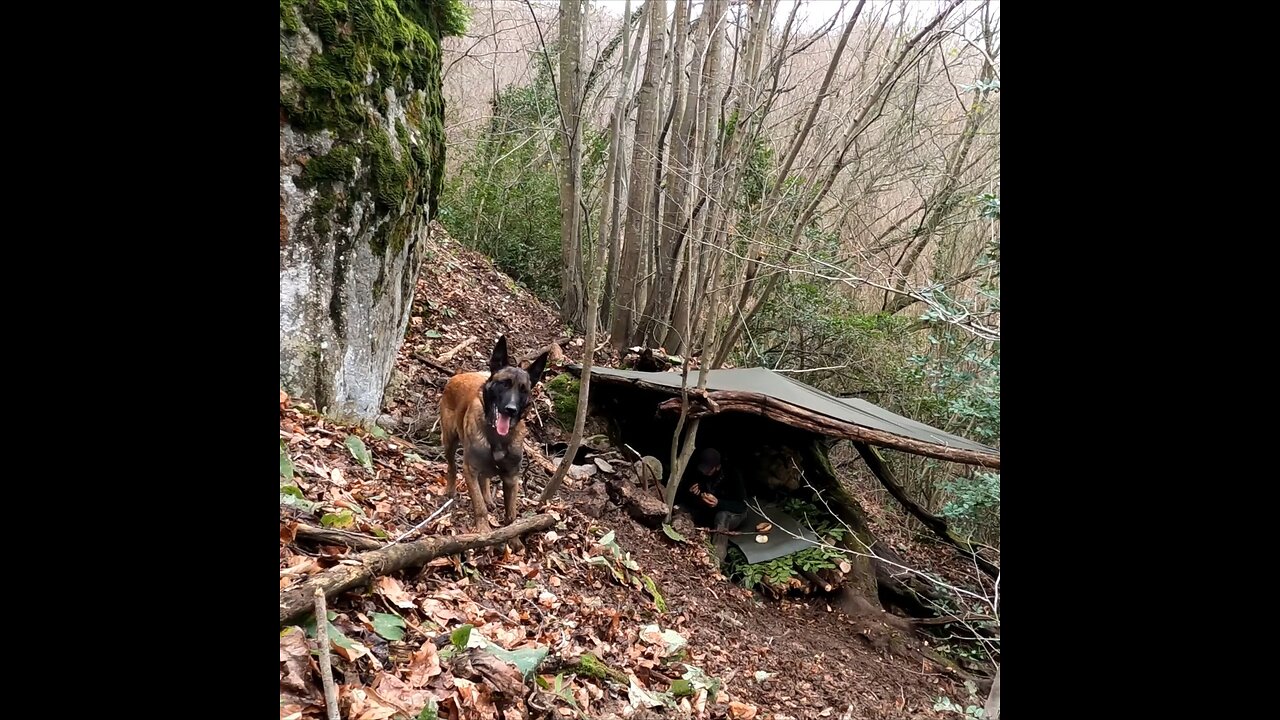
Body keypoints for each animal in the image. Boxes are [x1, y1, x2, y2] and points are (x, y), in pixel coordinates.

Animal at [437, 333, 547, 540]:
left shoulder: (511, 477)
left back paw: (488, 497)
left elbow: (511, 514)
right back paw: (450, 490)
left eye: (523, 390)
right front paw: (483, 530)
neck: (497, 438)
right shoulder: (470, 469)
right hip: (449, 441)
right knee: (452, 466)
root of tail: (458, 375)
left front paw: (512, 538)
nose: (511, 410)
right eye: (504, 384)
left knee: (485, 478)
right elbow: (478, 505)